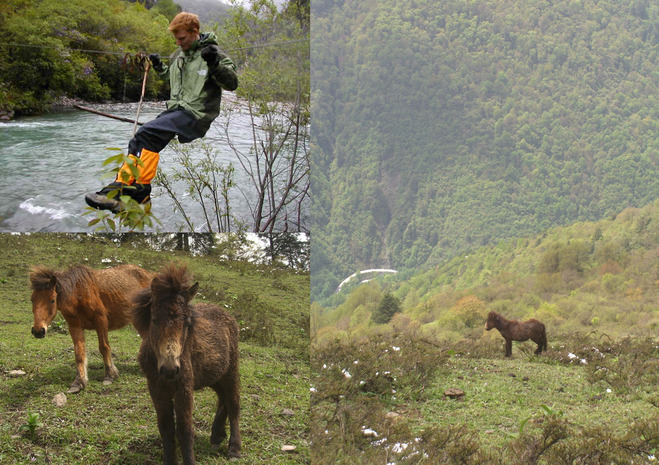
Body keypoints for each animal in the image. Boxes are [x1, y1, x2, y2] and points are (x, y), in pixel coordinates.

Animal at [29, 262, 152, 390]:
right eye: (32, 300)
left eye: (52, 300)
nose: (38, 331)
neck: (79, 295)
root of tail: (149, 275)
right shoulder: (75, 327)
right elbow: (79, 354)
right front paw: (79, 382)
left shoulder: (101, 322)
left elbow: (104, 348)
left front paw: (110, 375)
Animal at [132, 262, 242, 462]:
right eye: (154, 320)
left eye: (187, 323)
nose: (170, 370)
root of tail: (226, 314)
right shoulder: (156, 388)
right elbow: (166, 429)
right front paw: (170, 460)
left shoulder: (184, 387)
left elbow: (184, 430)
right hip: (212, 375)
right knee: (222, 397)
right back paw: (216, 435)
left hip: (231, 370)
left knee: (233, 402)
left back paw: (234, 448)